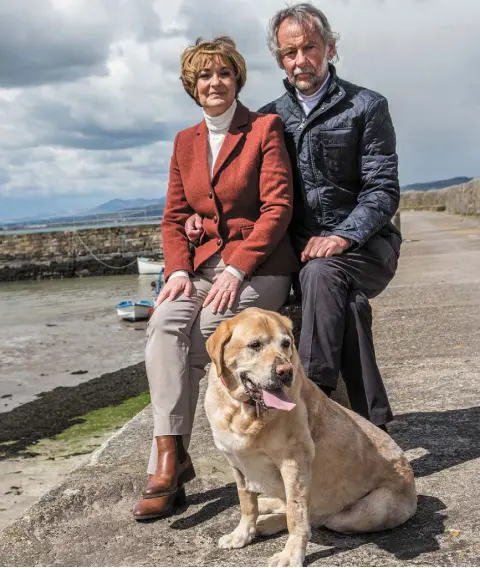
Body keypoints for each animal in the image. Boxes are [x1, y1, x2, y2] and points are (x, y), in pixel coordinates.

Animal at [204, 308, 418, 564]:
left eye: (286, 343)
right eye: (255, 345)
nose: (286, 372)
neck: (246, 412)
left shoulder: (294, 463)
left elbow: (297, 516)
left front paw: (291, 555)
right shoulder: (237, 463)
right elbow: (247, 503)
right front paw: (242, 534)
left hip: (357, 514)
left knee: (317, 517)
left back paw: (269, 521)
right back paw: (265, 508)